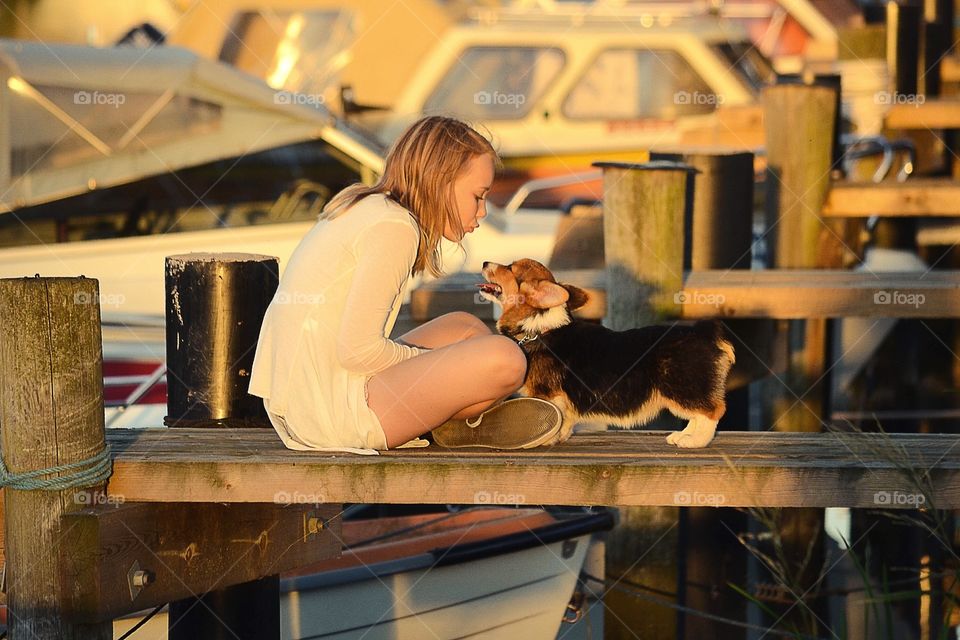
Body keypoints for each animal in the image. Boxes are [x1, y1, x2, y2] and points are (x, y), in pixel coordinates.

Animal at [478, 258, 736, 448]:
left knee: (712, 411)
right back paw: (682, 436)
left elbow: (555, 416)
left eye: (510, 268)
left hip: (682, 386)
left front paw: (546, 440)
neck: (539, 326)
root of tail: (705, 332)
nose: (484, 262)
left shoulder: (548, 394)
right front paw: (560, 437)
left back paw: (694, 441)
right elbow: (565, 419)